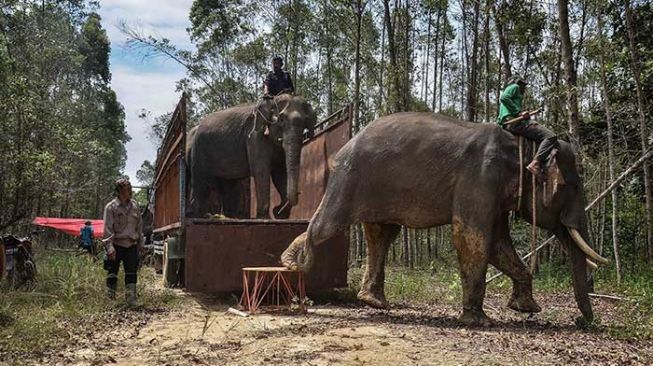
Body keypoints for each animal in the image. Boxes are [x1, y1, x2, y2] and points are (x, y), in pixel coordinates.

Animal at [185, 95, 318, 220]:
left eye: (306, 121)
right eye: (281, 120)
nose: (277, 209)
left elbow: (280, 173)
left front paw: (280, 215)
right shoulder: (255, 136)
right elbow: (261, 171)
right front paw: (266, 217)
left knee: (230, 186)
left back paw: (230, 217)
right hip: (200, 150)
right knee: (200, 182)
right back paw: (198, 215)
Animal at [280, 111, 608, 326]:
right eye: (571, 186)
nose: (581, 322)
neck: (520, 144)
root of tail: (344, 147)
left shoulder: (494, 194)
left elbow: (498, 244)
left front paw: (527, 308)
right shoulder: (479, 179)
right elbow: (471, 238)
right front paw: (480, 321)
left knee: (383, 233)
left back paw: (375, 302)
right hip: (349, 180)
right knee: (329, 225)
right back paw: (291, 261)